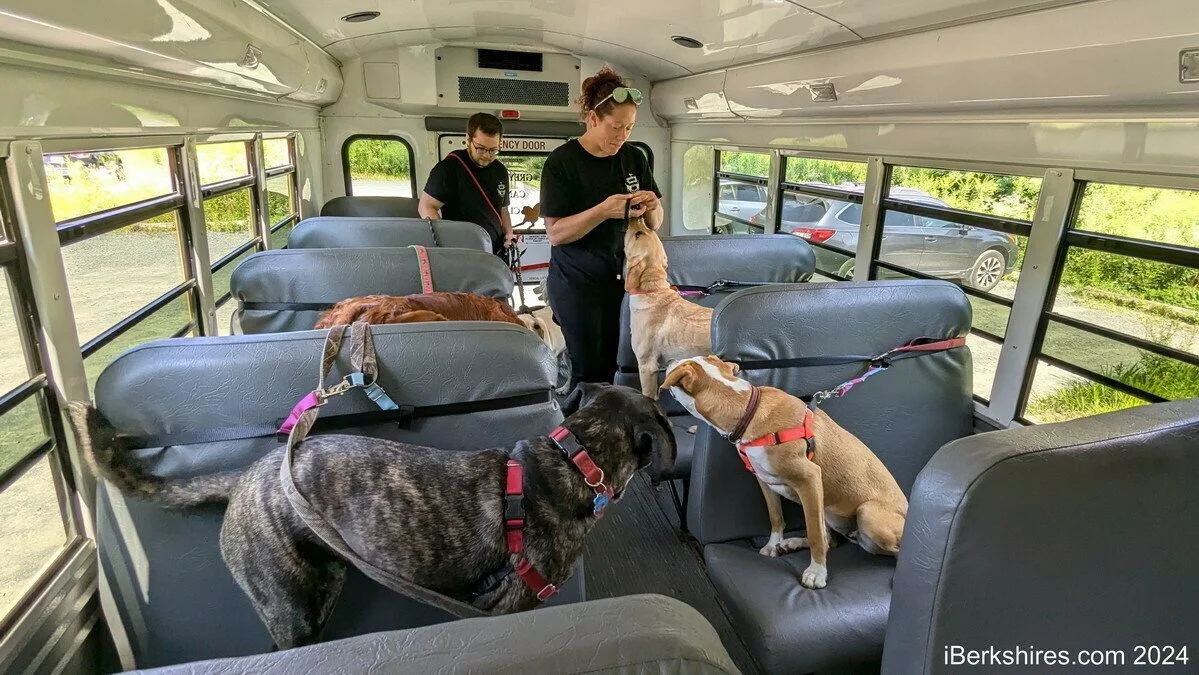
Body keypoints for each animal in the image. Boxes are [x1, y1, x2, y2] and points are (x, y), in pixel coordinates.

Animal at [660, 355, 907, 589]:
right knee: (831, 540)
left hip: (868, 514)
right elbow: (776, 516)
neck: (748, 409)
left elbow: (815, 535)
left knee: (888, 548)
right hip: (829, 510)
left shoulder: (810, 479)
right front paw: (773, 544)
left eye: (679, 365)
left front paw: (817, 573)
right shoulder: (764, 480)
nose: (669, 360)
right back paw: (792, 543)